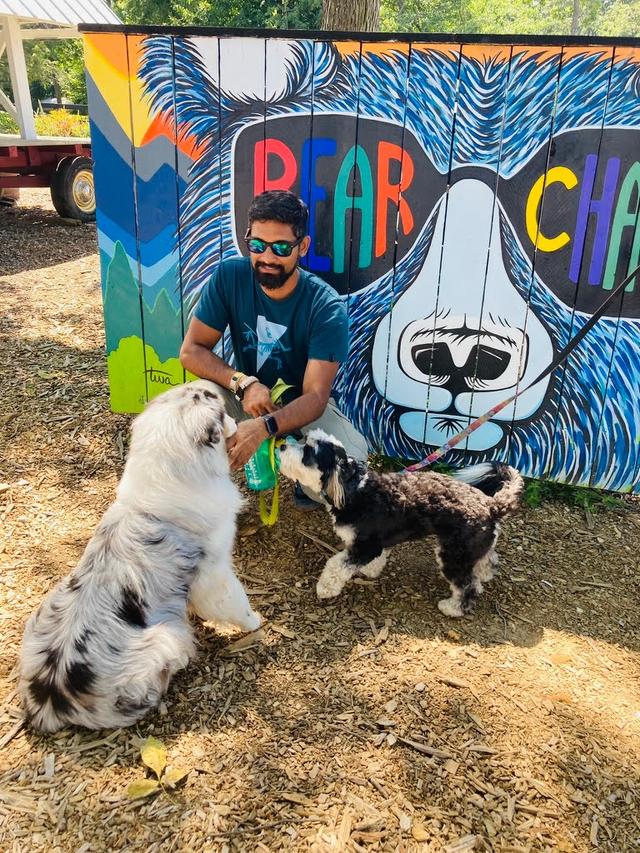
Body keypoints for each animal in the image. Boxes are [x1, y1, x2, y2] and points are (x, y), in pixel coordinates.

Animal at [20, 382, 260, 732]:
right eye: (214, 405)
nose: (212, 386)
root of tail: (50, 698)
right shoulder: (214, 573)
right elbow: (234, 602)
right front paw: (254, 622)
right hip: (164, 641)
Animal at [278, 430, 524, 616]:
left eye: (308, 453)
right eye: (304, 439)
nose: (281, 446)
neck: (354, 490)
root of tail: (491, 505)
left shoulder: (365, 546)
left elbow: (335, 566)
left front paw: (325, 588)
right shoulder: (376, 543)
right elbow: (376, 559)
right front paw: (370, 570)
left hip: (453, 555)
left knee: (468, 586)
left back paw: (453, 608)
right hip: (470, 548)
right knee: (488, 561)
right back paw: (485, 573)